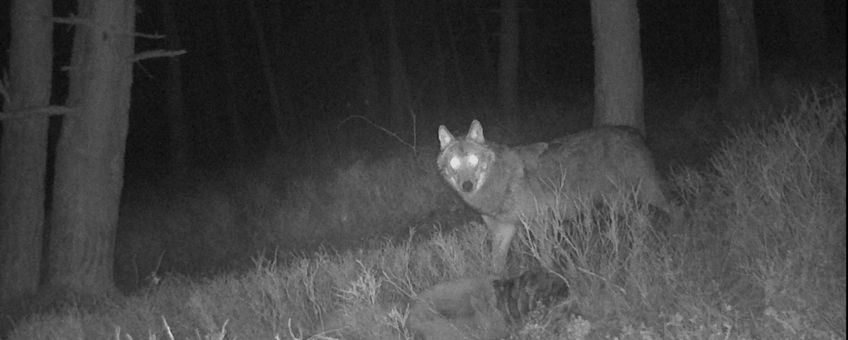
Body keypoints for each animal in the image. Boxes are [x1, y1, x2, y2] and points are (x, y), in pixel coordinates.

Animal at [438, 119, 676, 270]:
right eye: (454, 163)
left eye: (474, 160)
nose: (466, 185)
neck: (500, 186)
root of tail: (631, 131)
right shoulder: (503, 230)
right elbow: (496, 264)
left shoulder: (541, 224)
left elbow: (545, 258)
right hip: (619, 202)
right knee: (641, 220)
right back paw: (637, 249)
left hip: (646, 192)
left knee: (675, 208)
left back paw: (675, 237)